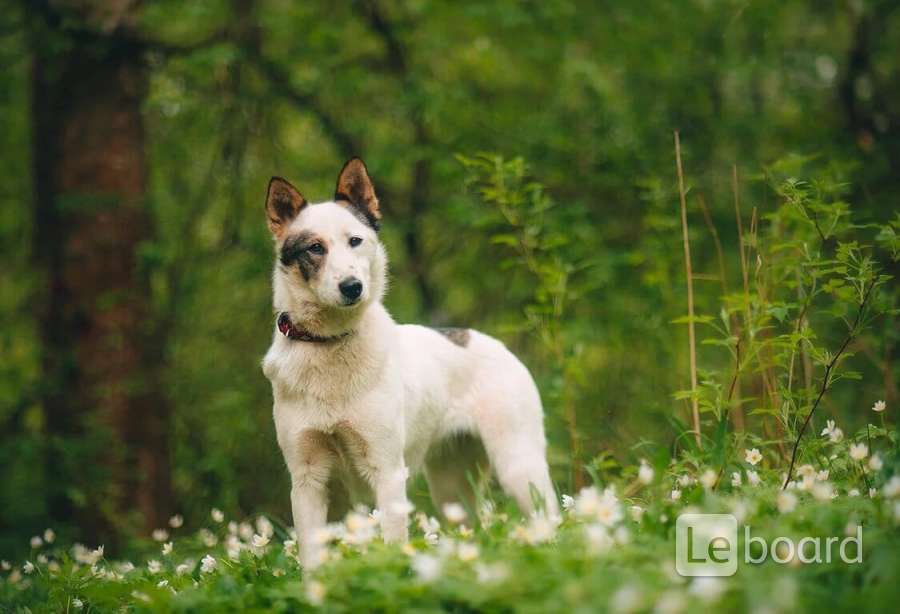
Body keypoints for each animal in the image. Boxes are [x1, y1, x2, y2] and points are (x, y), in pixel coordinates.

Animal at [258, 160, 556, 572]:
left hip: (519, 466)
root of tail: (491, 342)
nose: (352, 287)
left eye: (355, 241)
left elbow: (393, 544)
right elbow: (312, 559)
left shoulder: (387, 472)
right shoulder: (308, 480)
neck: (330, 343)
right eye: (315, 248)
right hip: (452, 488)